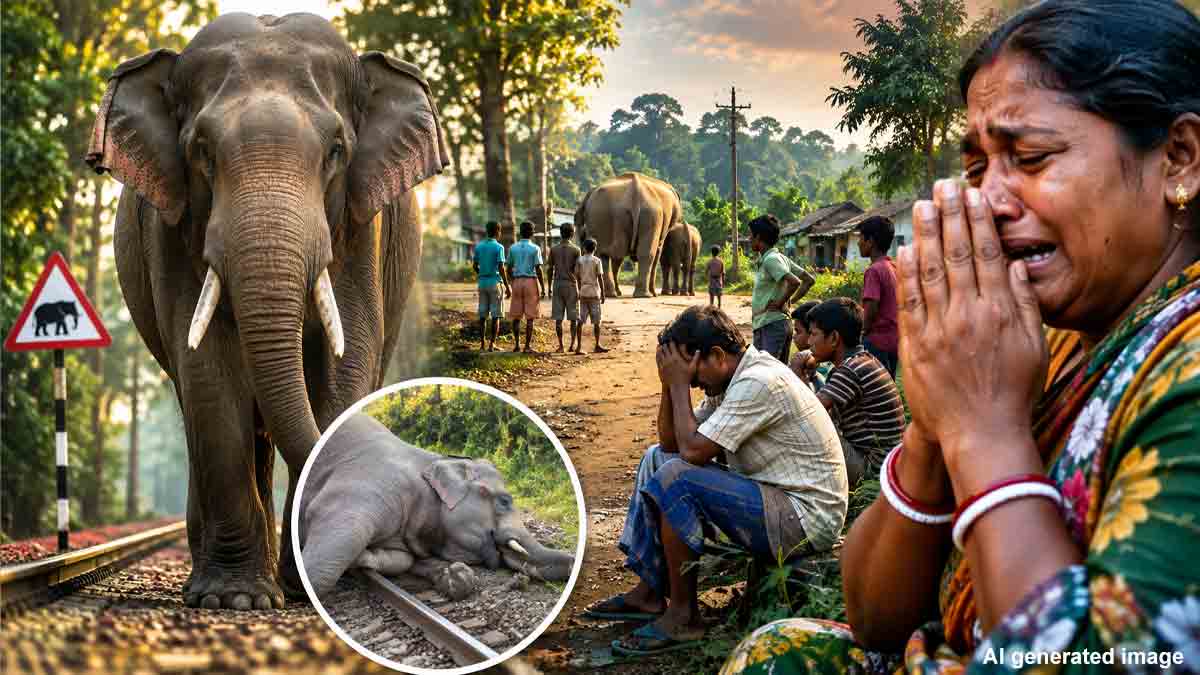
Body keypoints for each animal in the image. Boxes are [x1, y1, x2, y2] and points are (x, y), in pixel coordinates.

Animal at [85, 13, 449, 610]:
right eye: (202, 151)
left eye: (336, 151)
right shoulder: (172, 227)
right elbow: (208, 373)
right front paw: (236, 600)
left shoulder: (361, 229)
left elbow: (345, 363)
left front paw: (300, 590)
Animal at [299, 413, 575, 599]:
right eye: (505, 501)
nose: (574, 559)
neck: (433, 461)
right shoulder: (365, 486)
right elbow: (321, 570)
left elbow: (401, 560)